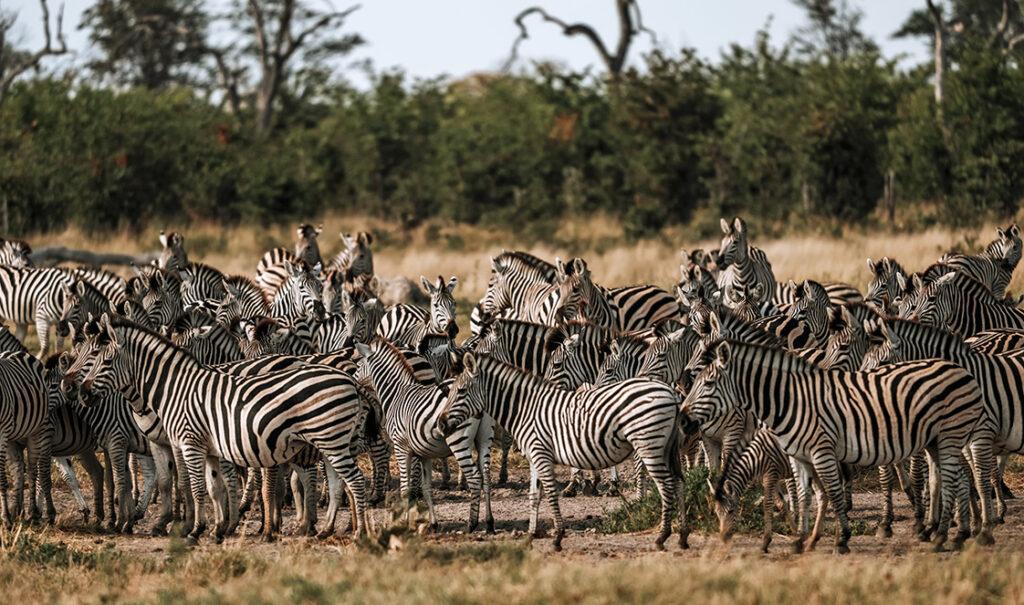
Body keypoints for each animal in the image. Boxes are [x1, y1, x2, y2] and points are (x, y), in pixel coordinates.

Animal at [63, 314, 369, 543]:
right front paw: (216, 528)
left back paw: (358, 535)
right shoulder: (200, 447)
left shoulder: (187, 442)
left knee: (355, 480)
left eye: (102, 359)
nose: (79, 392)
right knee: (337, 481)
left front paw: (193, 529)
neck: (174, 389)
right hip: (328, 441)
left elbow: (194, 486)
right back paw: (327, 529)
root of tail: (349, 379)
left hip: (330, 439)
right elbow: (208, 486)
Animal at [355, 339, 494, 532]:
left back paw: (471, 524)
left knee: (475, 477)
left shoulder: (401, 447)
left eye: (359, 365)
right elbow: (425, 488)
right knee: (487, 476)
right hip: (484, 439)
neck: (397, 394)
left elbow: (406, 488)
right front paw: (433, 524)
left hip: (458, 441)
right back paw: (489, 522)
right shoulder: (425, 453)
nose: (352, 380)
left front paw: (404, 524)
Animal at [438, 353, 684, 551]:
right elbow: (534, 495)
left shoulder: (541, 453)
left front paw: (557, 537)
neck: (525, 408)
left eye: (461, 391)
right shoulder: (533, 456)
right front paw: (531, 535)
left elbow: (550, 493)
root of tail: (669, 391)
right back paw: (682, 536)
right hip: (665, 447)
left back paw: (662, 537)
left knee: (666, 486)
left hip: (649, 444)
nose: (440, 425)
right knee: (679, 482)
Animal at [680, 337, 985, 553]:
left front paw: (842, 539)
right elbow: (804, 496)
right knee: (951, 479)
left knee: (953, 481)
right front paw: (800, 540)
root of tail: (962, 370)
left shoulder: (822, 451)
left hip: (950, 436)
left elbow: (834, 493)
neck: (790, 399)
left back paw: (943, 536)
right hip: (936, 441)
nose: (682, 420)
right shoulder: (799, 457)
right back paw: (949, 533)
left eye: (709, 383)